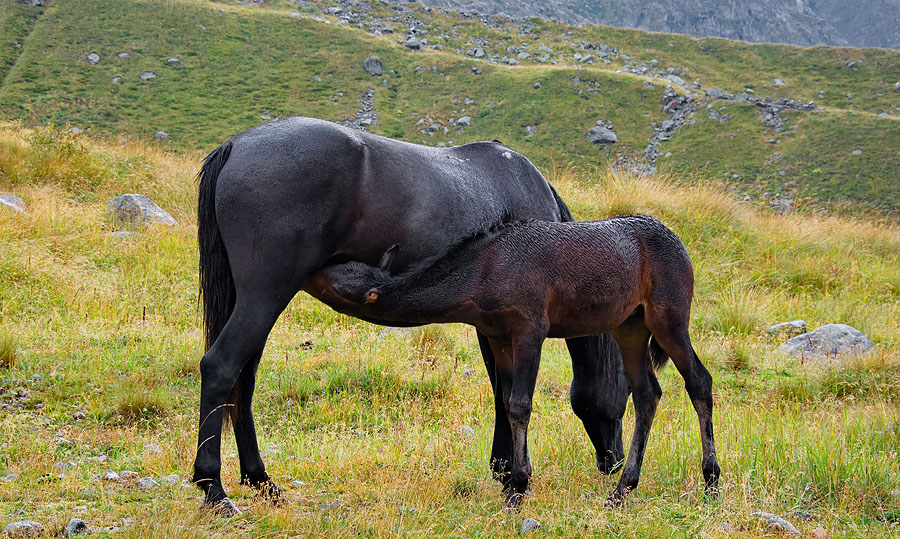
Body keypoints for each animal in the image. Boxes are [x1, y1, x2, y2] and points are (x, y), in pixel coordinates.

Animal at [192, 117, 624, 516]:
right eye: (624, 396)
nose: (615, 463)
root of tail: (237, 145)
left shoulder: (493, 327)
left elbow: (501, 390)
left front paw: (502, 469)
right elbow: (510, 393)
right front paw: (512, 477)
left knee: (243, 382)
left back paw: (261, 481)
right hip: (265, 296)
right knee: (221, 367)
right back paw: (214, 488)